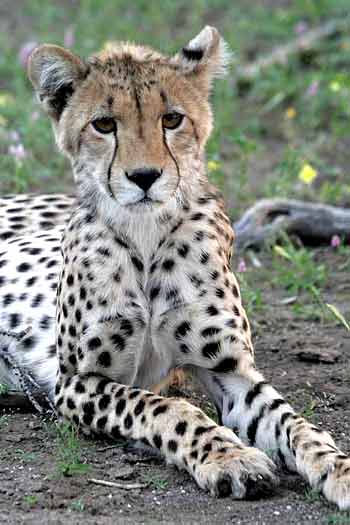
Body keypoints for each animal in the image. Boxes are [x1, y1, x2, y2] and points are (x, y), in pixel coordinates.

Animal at [0, 26, 348, 506]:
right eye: (104, 125)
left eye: (171, 119)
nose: (145, 176)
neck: (147, 237)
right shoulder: (76, 381)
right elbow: (167, 408)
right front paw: (228, 457)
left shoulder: (228, 370)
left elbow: (295, 422)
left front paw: (339, 468)